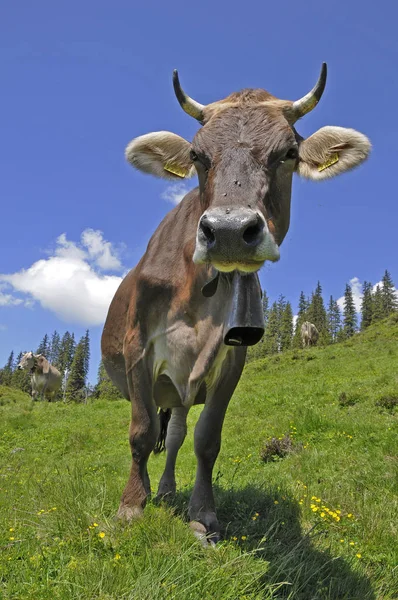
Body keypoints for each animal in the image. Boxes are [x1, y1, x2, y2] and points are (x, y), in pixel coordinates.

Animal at [102, 64, 370, 544]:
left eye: (288, 152)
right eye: (197, 155)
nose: (228, 229)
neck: (197, 292)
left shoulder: (232, 357)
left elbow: (206, 438)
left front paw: (202, 515)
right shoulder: (137, 347)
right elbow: (140, 430)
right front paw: (131, 506)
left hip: (182, 389)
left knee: (176, 433)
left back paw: (166, 489)